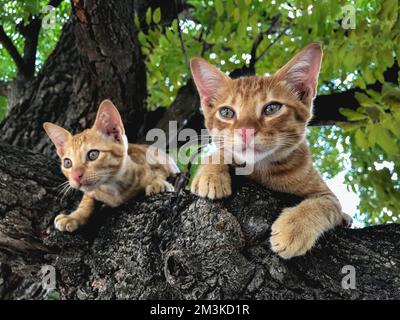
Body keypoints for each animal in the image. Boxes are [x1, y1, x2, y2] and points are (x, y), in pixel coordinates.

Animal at [42, 100, 178, 232]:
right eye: (67, 163)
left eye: (93, 154)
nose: (75, 176)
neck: (113, 188)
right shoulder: (92, 192)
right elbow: (86, 201)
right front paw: (74, 216)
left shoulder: (156, 162)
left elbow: (157, 172)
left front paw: (156, 182)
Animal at [190, 41, 350, 258]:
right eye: (226, 112)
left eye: (272, 108)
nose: (245, 131)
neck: (261, 169)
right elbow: (221, 151)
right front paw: (210, 175)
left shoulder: (328, 196)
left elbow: (323, 205)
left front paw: (294, 229)